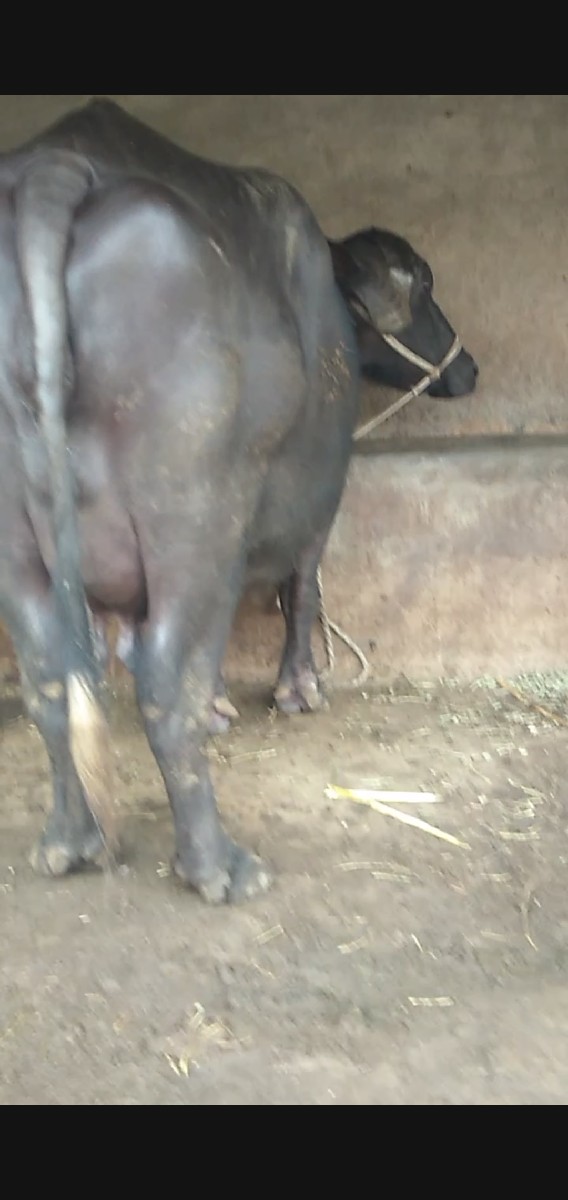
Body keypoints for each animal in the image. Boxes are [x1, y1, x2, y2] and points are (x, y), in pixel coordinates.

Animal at [0, 100, 478, 903]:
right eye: (424, 291)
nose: (466, 368)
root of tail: (52, 171)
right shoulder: (317, 487)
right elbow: (301, 585)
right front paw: (298, 688)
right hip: (190, 520)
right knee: (165, 680)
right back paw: (218, 864)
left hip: (19, 548)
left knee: (51, 681)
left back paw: (69, 841)